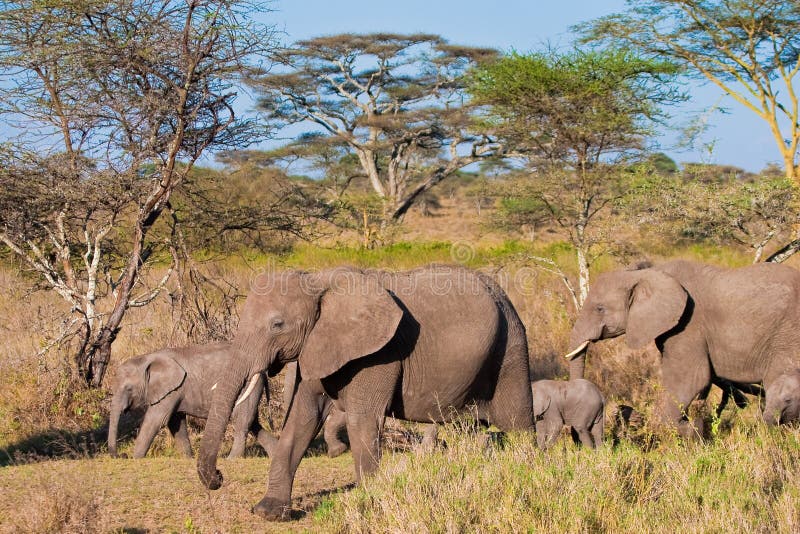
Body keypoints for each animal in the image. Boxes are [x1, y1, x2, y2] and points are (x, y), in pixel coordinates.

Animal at [108, 344, 278, 460]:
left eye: (129, 389)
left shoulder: (172, 390)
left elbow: (157, 420)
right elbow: (175, 423)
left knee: (242, 420)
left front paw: (136, 459)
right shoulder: (175, 391)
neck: (148, 358)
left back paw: (231, 459)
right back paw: (274, 454)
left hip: (248, 384)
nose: (122, 455)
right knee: (253, 422)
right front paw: (188, 458)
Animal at [195, 266, 532, 520]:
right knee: (471, 430)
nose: (218, 478)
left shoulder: (379, 354)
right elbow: (301, 420)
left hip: (510, 346)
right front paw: (268, 512)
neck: (319, 281)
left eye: (278, 324)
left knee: (517, 424)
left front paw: (369, 505)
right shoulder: (315, 348)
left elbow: (362, 421)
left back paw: (529, 470)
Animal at [564, 260, 800, 440]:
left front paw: (687, 432)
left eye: (599, 309)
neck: (649, 273)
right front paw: (697, 428)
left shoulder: (689, 325)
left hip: (786, 336)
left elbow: (691, 380)